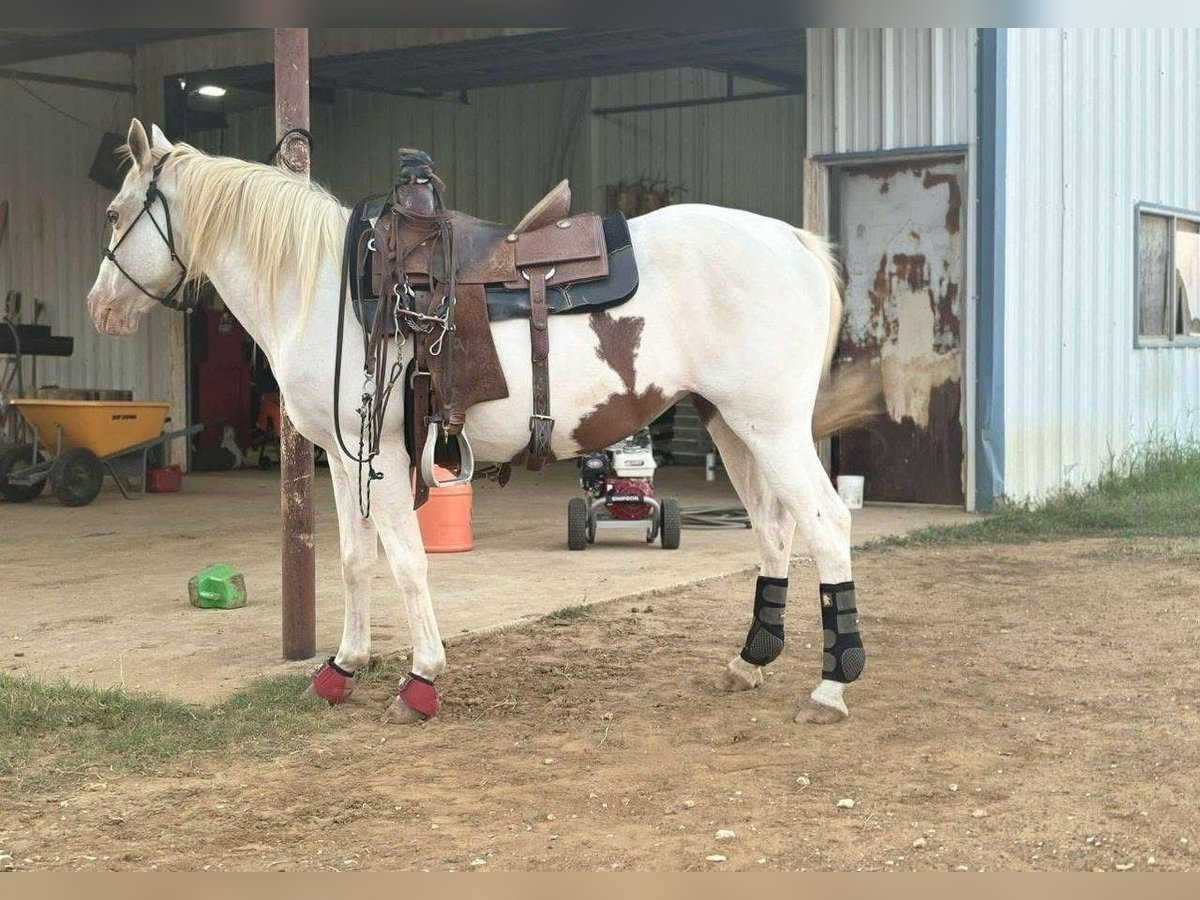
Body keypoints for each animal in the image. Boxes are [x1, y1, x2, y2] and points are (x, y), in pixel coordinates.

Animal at [87, 120, 873, 724]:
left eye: (115, 213)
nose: (99, 309)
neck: (327, 289)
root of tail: (796, 243)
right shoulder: (343, 455)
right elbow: (353, 561)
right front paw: (341, 668)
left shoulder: (382, 454)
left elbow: (406, 562)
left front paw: (420, 681)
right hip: (731, 425)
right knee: (774, 528)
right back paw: (749, 661)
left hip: (770, 426)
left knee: (825, 523)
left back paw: (832, 685)